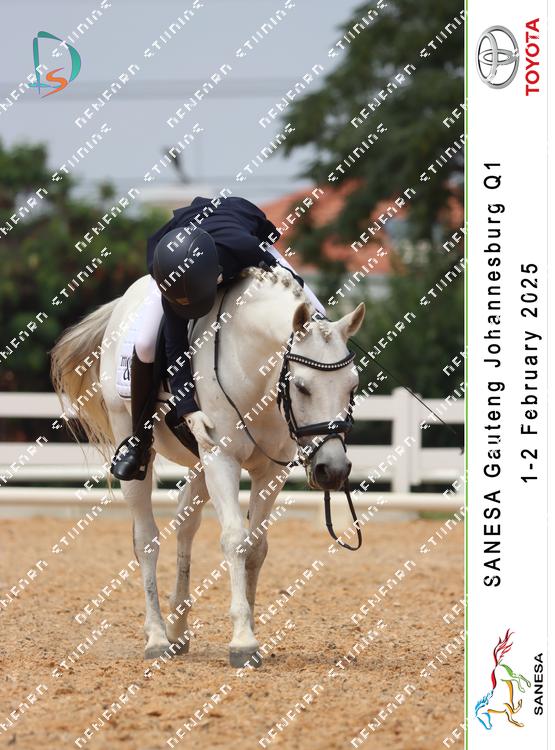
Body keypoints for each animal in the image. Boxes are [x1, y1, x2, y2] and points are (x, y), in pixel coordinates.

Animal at [51, 265, 365, 667]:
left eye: (352, 387)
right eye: (302, 387)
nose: (333, 470)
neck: (253, 366)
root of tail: (125, 299)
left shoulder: (270, 471)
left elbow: (256, 546)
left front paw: (250, 627)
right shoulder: (222, 459)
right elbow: (234, 540)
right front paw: (243, 640)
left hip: (200, 465)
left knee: (186, 524)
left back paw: (177, 630)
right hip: (137, 443)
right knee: (146, 539)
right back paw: (156, 637)